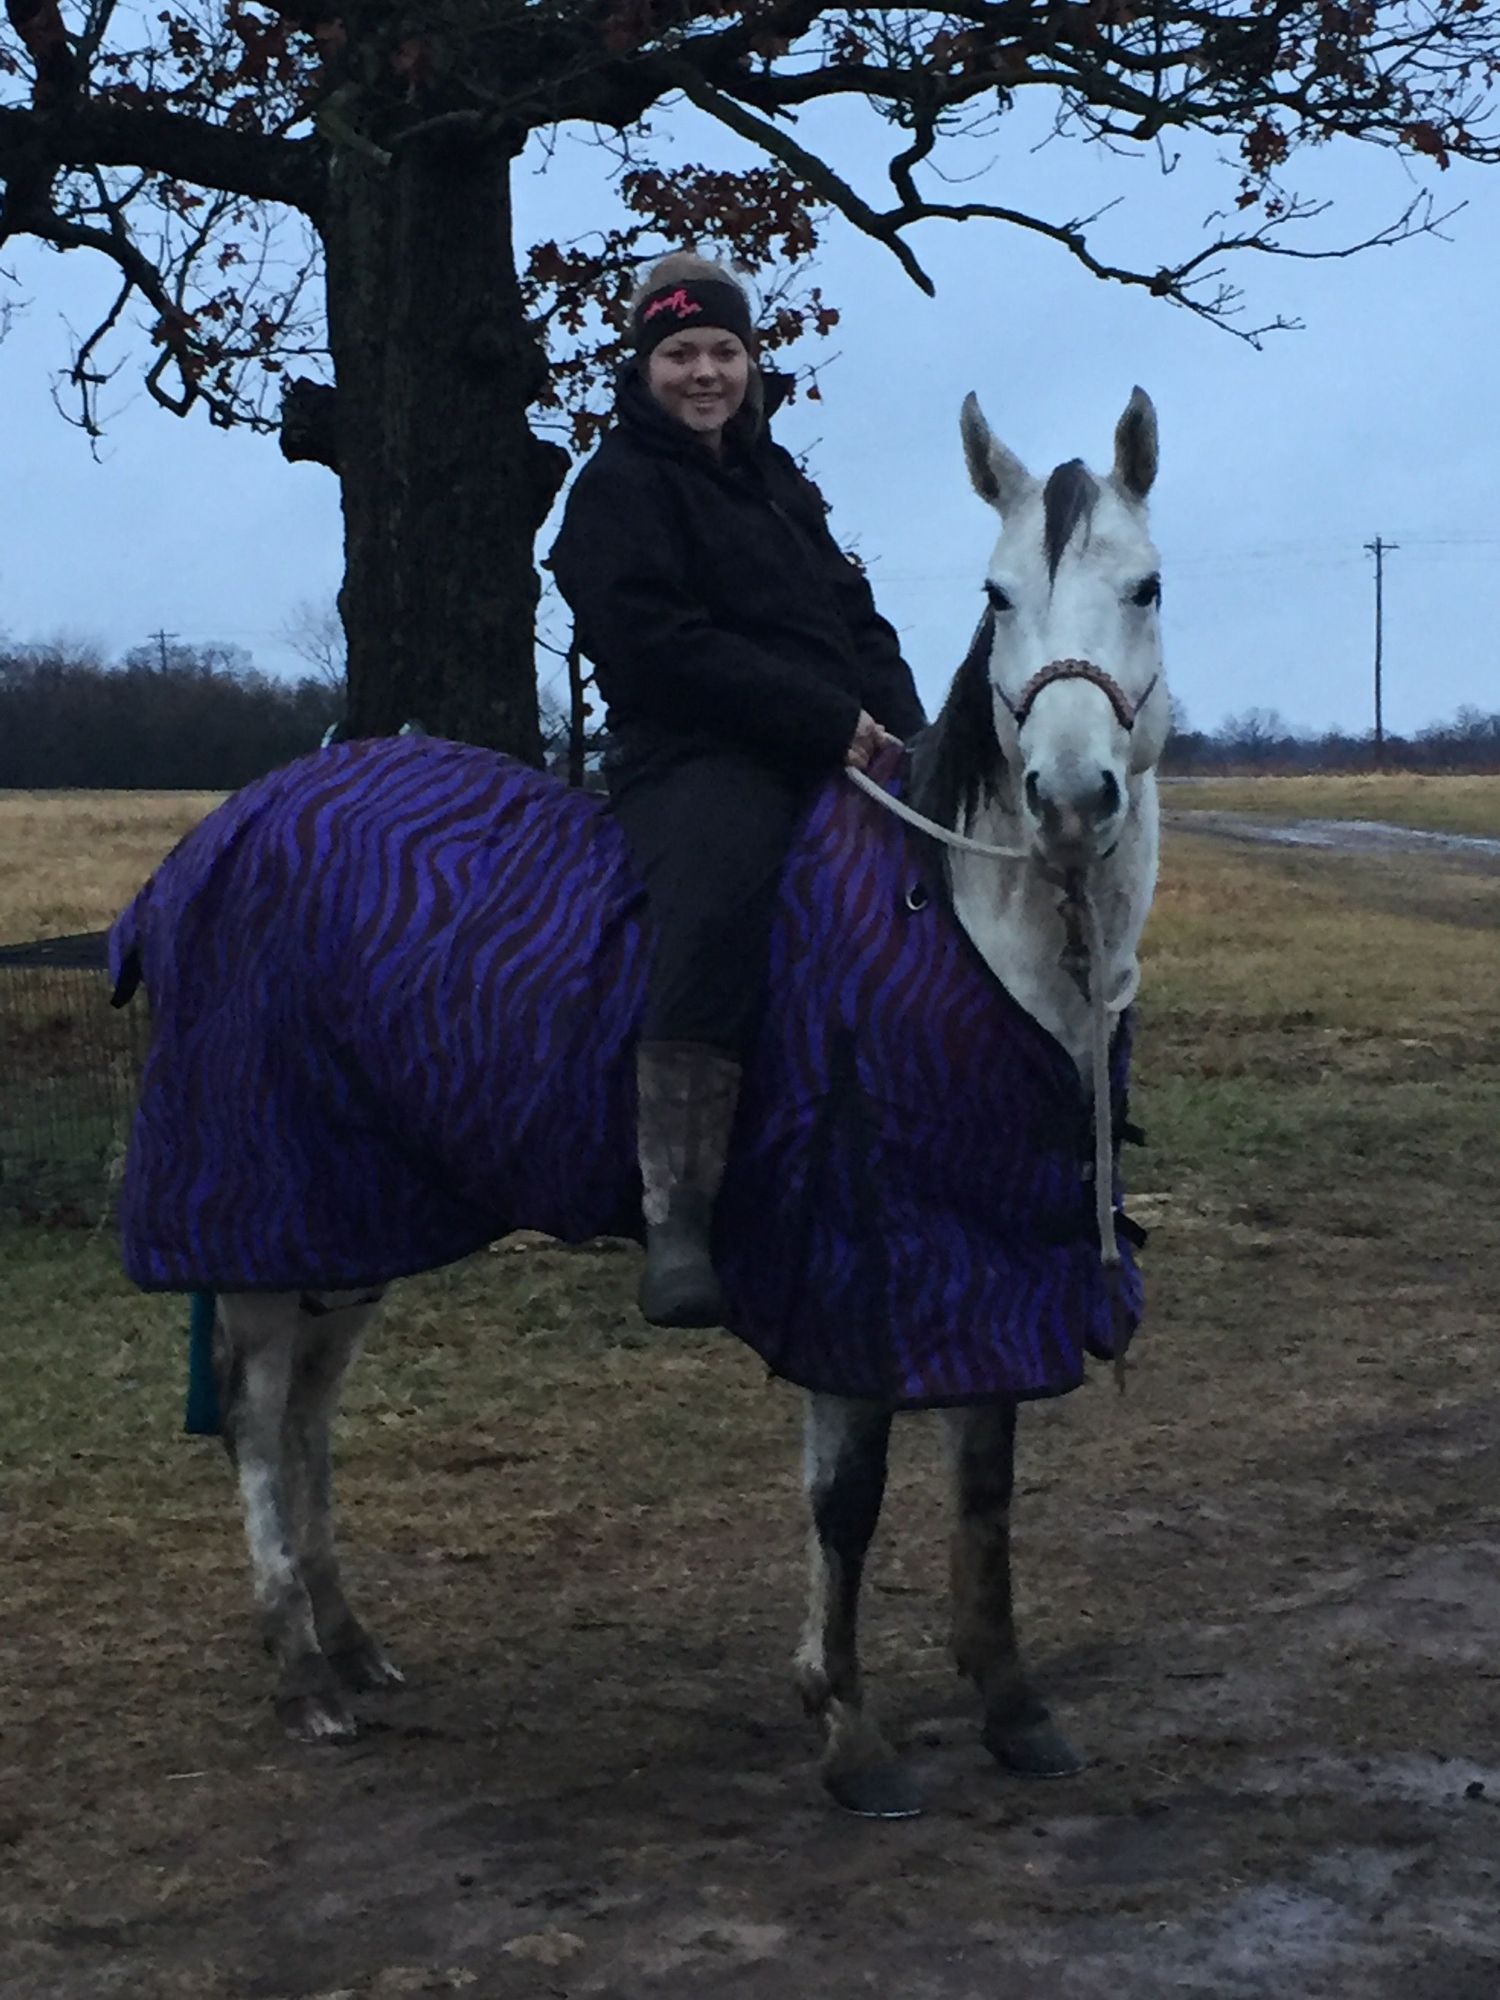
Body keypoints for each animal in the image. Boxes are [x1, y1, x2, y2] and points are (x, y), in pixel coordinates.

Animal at [108, 388, 1167, 1819]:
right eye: (999, 597)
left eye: (1146, 586)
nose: (1067, 796)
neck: (960, 920)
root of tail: (217, 841)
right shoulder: (863, 1257)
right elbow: (849, 1496)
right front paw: (848, 1727)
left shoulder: (990, 1252)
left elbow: (987, 1483)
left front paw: (1010, 1705)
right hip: (266, 1198)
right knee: (263, 1417)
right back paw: (303, 1674)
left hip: (342, 1217)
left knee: (312, 1406)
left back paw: (351, 1641)